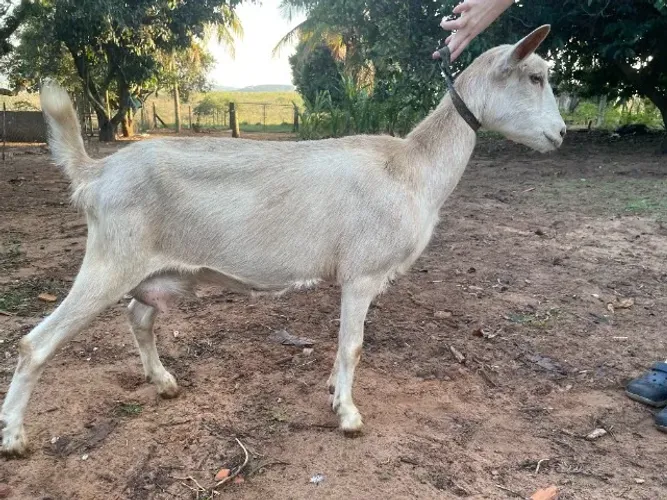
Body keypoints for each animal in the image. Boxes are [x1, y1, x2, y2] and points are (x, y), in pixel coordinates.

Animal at [1, 25, 565, 455]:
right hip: (111, 258)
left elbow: (342, 346)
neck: (410, 168)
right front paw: (348, 415)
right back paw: (14, 438)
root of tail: (96, 172)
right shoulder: (361, 274)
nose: (560, 135)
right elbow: (354, 345)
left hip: (164, 270)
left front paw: (334, 391)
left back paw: (162, 382)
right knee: (36, 343)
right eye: (535, 77)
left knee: (139, 317)